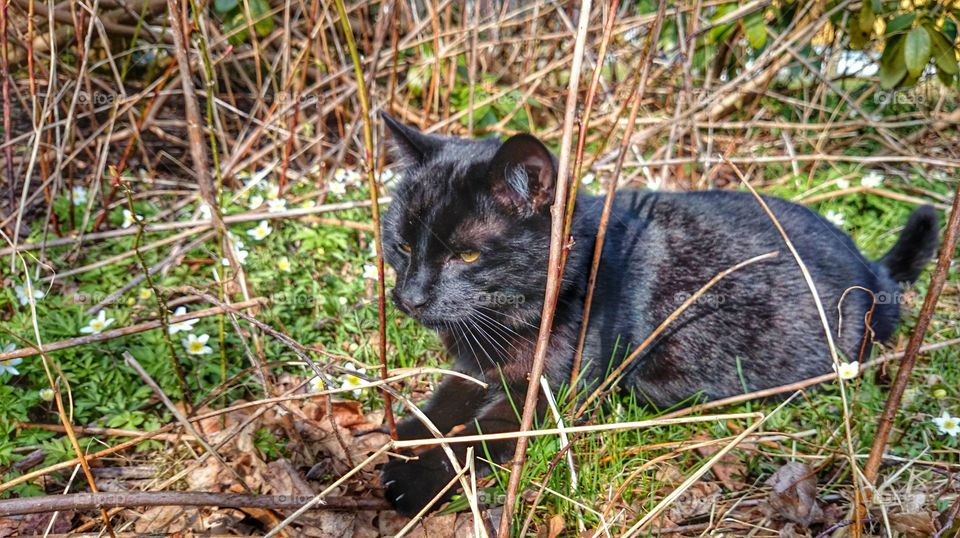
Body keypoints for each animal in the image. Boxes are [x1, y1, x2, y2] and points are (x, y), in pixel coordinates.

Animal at [374, 111, 936, 512]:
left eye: (467, 255)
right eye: (401, 246)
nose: (411, 297)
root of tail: (872, 269)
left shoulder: (547, 395)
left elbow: (476, 439)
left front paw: (411, 479)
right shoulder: (474, 368)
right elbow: (437, 408)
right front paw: (390, 439)